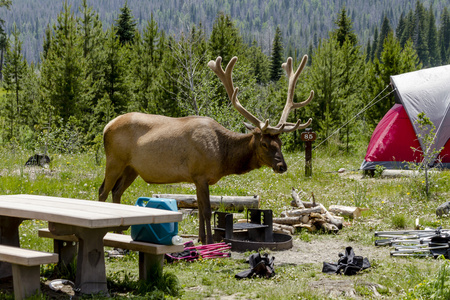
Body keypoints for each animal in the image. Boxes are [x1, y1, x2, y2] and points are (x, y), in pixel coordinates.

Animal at [99, 55, 312, 245]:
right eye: (264, 144)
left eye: (280, 143)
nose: (282, 166)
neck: (223, 156)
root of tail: (105, 127)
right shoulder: (200, 174)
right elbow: (207, 210)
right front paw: (209, 240)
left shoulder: (197, 177)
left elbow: (200, 209)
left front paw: (201, 238)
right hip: (114, 160)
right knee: (103, 190)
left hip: (131, 168)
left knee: (116, 191)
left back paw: (119, 230)